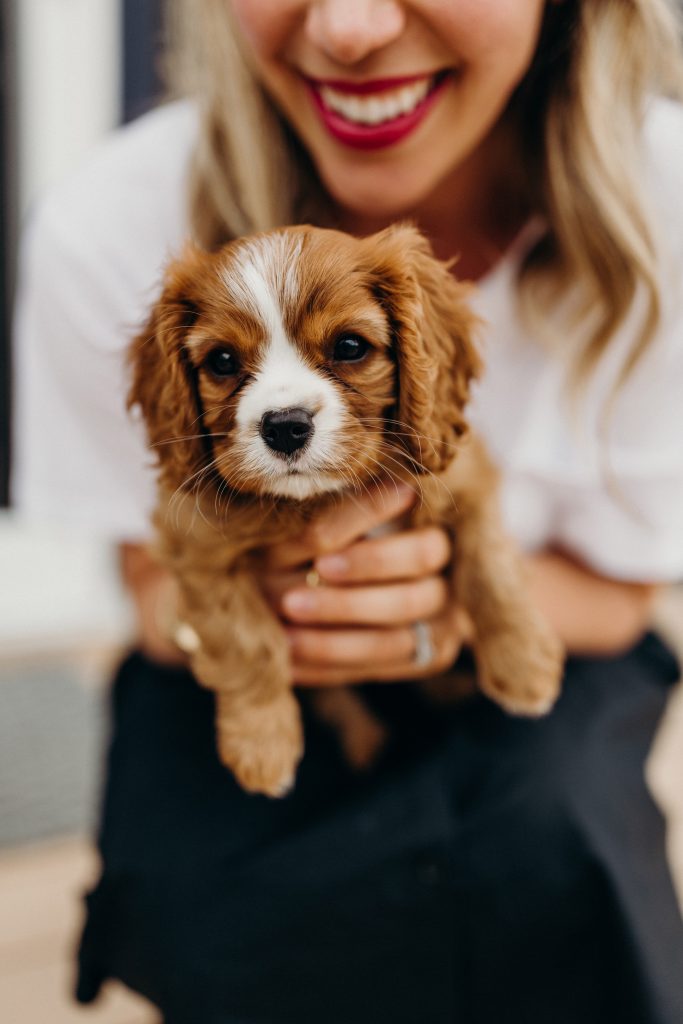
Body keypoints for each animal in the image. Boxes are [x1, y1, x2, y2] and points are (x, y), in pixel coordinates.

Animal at [129, 226, 565, 798]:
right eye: (222, 361)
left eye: (350, 347)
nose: (285, 425)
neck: (323, 497)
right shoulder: (197, 545)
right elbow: (246, 641)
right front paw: (263, 745)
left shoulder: (466, 479)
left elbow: (489, 570)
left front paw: (523, 667)